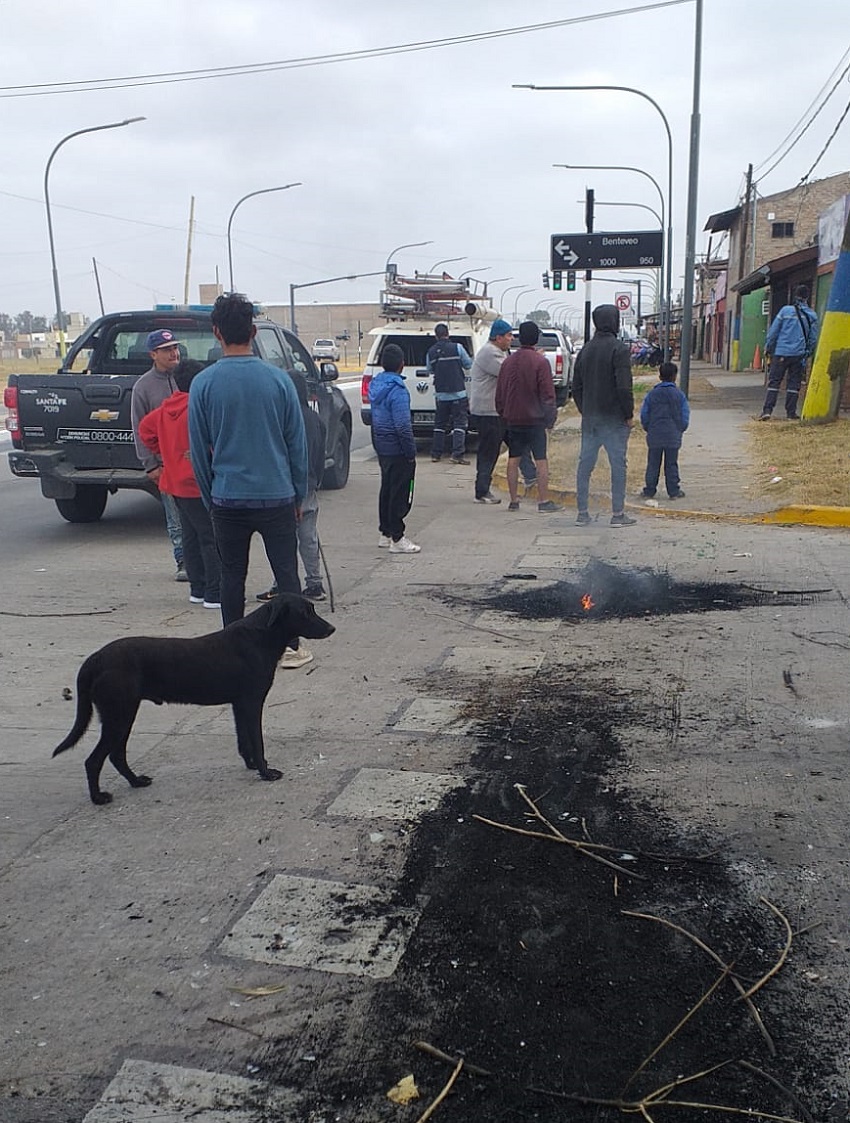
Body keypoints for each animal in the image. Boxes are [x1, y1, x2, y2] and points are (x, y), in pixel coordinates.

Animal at [53, 592, 334, 804]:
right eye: (305, 612)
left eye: (311, 609)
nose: (332, 628)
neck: (260, 637)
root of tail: (96, 658)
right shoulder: (253, 703)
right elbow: (258, 742)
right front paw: (266, 772)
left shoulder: (239, 705)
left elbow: (244, 741)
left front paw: (253, 765)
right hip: (118, 715)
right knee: (95, 760)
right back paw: (99, 797)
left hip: (122, 715)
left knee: (116, 756)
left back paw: (136, 781)